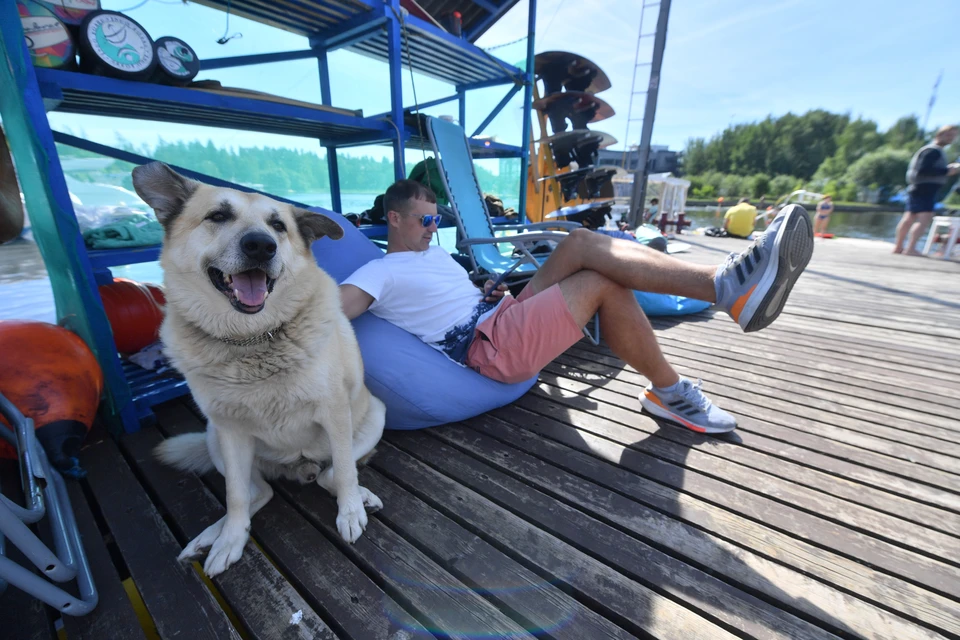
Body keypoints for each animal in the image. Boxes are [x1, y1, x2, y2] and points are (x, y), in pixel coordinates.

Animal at [132, 162, 386, 576]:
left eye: (278, 225)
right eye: (218, 216)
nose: (261, 246)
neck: (252, 339)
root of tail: (295, 467)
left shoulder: (335, 412)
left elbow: (346, 471)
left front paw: (350, 511)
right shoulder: (230, 431)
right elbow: (235, 496)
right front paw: (230, 540)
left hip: (372, 415)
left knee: (330, 473)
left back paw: (357, 495)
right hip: (214, 437)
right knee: (259, 491)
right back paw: (210, 536)